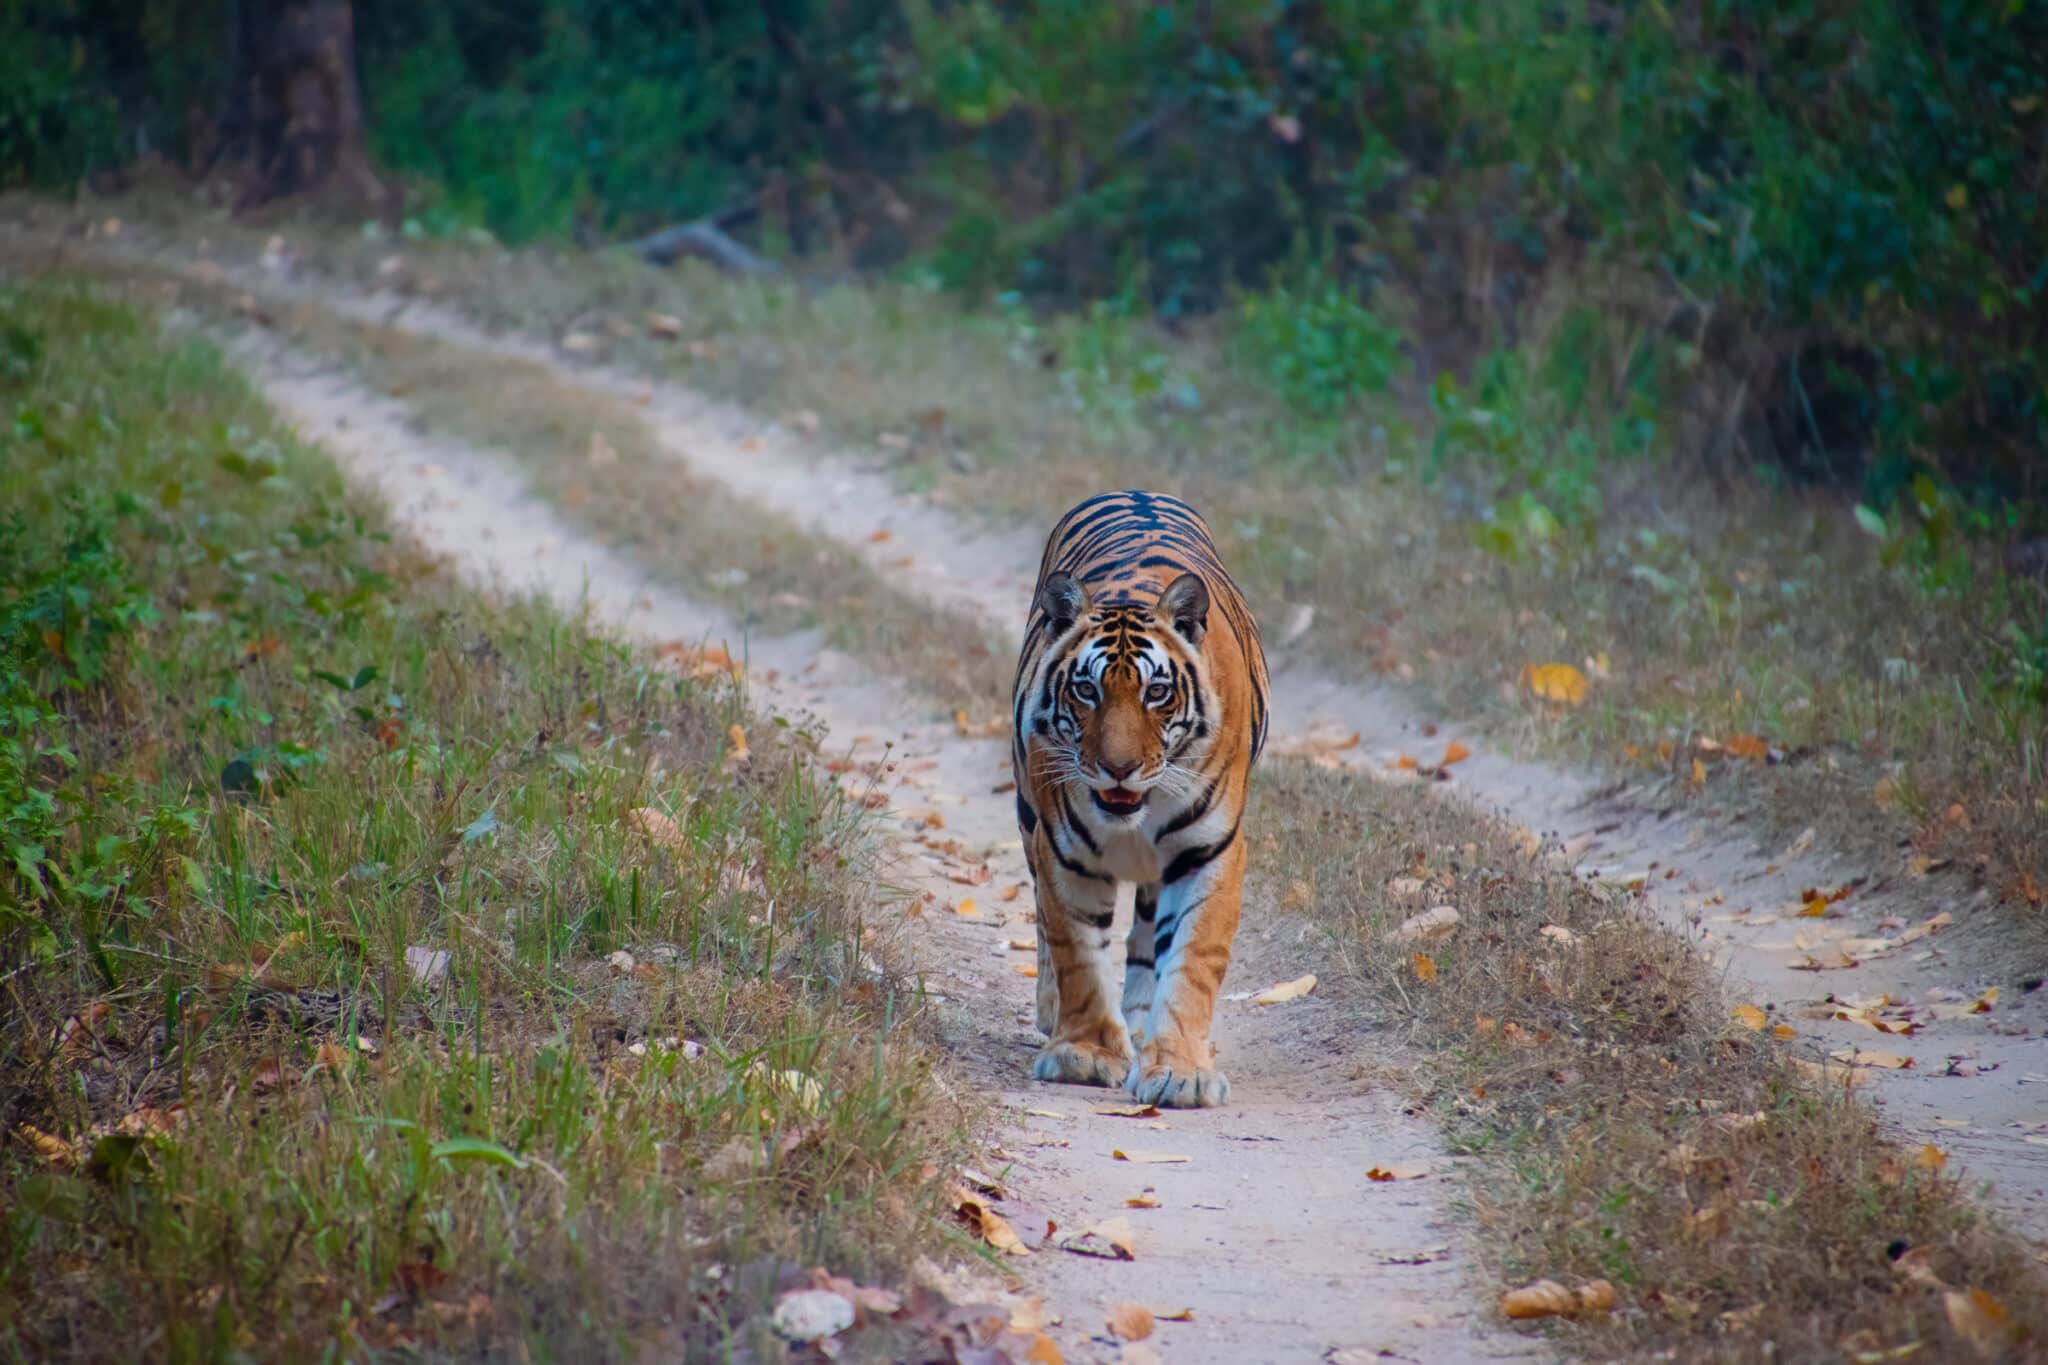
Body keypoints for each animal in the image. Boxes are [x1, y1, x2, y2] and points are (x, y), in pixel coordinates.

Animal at [1011, 490, 1269, 1108]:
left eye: (1157, 692)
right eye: (1086, 690)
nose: (1119, 768)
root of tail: (1136, 492)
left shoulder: (1210, 851)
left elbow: (1193, 960)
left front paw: (1179, 1070)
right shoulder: (1063, 851)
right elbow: (1077, 952)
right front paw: (1083, 1054)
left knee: (1149, 938)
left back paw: (1139, 1020)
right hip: (1027, 817)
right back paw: (1054, 1014)